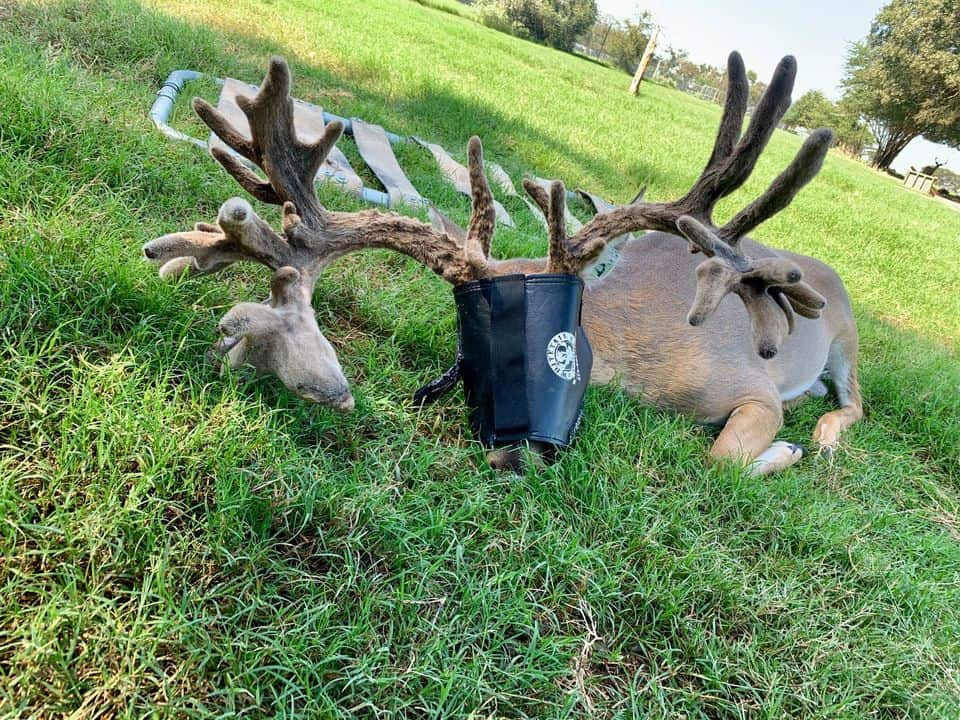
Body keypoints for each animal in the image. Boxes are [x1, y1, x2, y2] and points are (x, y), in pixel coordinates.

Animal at [143, 53, 863, 476]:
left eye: (555, 339)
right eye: (472, 354)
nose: (519, 452)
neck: (631, 351)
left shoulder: (755, 386)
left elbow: (720, 460)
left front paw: (789, 448)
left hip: (846, 339)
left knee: (854, 400)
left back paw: (824, 434)